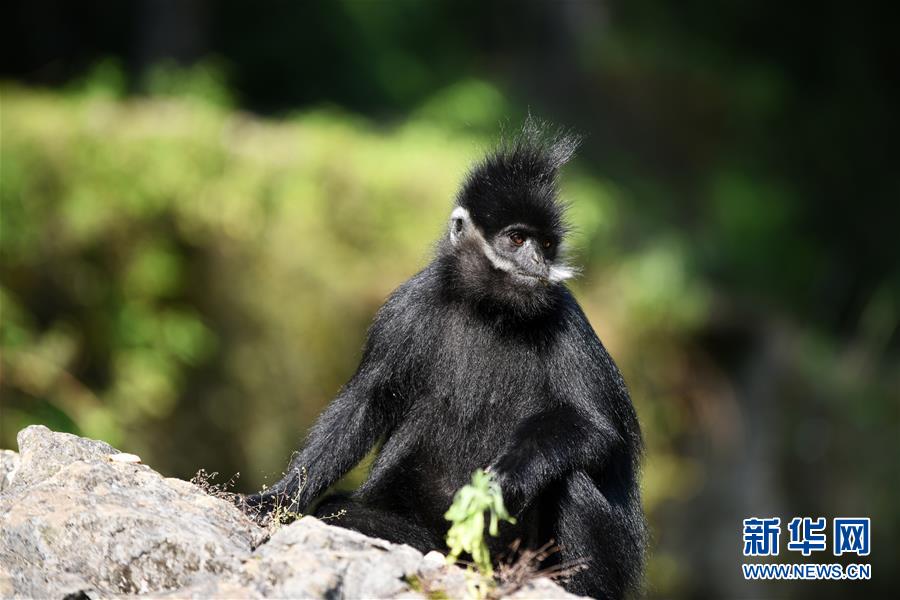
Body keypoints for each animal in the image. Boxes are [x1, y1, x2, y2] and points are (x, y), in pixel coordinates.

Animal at [243, 122, 644, 600]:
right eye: (517, 238)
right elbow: (364, 404)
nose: (538, 261)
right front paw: (276, 499)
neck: (489, 310)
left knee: (574, 478)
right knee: (345, 508)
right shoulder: (406, 307)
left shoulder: (567, 319)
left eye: (546, 244)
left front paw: (507, 477)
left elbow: (597, 428)